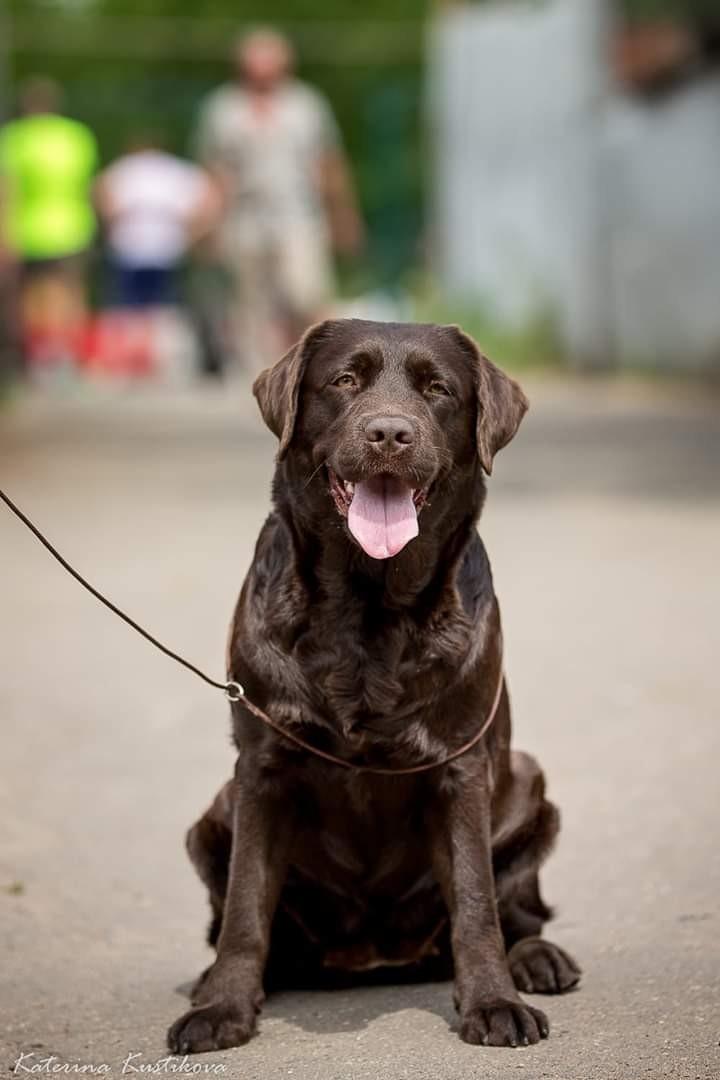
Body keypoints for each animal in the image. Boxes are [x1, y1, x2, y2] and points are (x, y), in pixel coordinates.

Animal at [169, 319, 578, 1054]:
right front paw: (223, 1007)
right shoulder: (262, 769)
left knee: (517, 911)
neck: (367, 608)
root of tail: (374, 954)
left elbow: (476, 901)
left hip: (530, 782)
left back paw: (537, 960)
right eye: (345, 380)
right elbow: (245, 903)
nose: (390, 433)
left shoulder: (459, 766)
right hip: (214, 812)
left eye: (437, 389)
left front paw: (493, 1001)